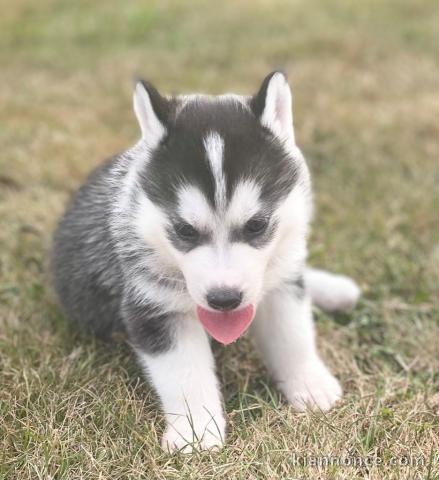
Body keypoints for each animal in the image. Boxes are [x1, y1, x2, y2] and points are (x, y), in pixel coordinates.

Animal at [51, 70, 360, 450]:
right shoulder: (155, 309)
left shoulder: (280, 290)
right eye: (184, 230)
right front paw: (196, 433)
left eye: (256, 225)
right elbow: (185, 375)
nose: (224, 299)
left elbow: (292, 335)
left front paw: (310, 384)